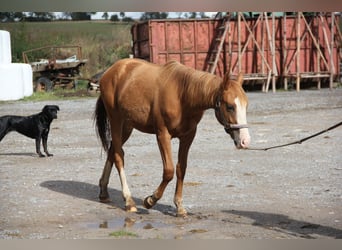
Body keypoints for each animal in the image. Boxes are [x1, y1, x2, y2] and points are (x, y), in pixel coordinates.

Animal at [95, 58, 250, 217]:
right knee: (119, 156)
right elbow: (169, 171)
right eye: (230, 106)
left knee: (112, 151)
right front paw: (150, 200)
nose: (245, 141)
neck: (182, 95)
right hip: (116, 121)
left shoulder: (188, 136)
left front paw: (179, 206)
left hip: (127, 126)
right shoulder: (162, 134)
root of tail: (112, 71)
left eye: (246, 105)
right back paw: (128, 201)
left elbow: (181, 169)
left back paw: (104, 192)